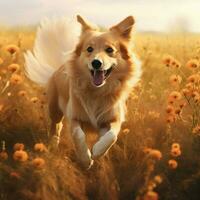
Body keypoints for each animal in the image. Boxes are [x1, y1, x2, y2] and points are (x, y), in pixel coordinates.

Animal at [24, 14, 141, 169]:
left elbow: (112, 136)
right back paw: (53, 143)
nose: (96, 63)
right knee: (56, 125)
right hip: (54, 109)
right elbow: (78, 135)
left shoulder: (113, 119)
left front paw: (98, 151)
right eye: (89, 49)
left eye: (109, 50)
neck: (96, 91)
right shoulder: (74, 116)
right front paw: (85, 159)